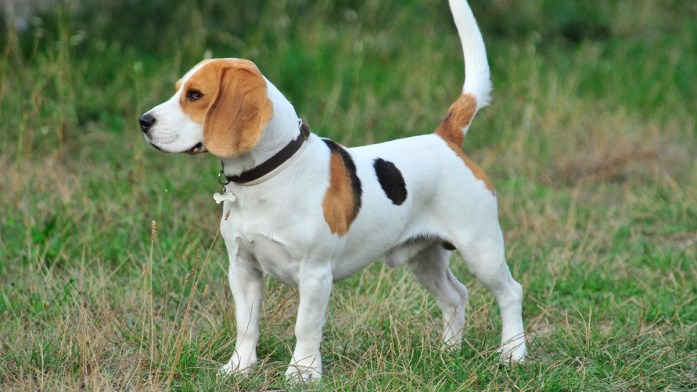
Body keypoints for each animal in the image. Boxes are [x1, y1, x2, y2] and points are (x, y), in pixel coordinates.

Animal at [139, 0, 524, 382]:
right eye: (178, 89)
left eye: (195, 95)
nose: (144, 121)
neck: (269, 176)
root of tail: (446, 138)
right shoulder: (243, 267)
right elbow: (246, 324)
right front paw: (239, 368)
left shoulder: (315, 274)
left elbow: (305, 327)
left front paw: (302, 372)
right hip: (423, 258)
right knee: (455, 296)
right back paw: (447, 353)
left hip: (481, 250)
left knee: (510, 293)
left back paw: (513, 355)